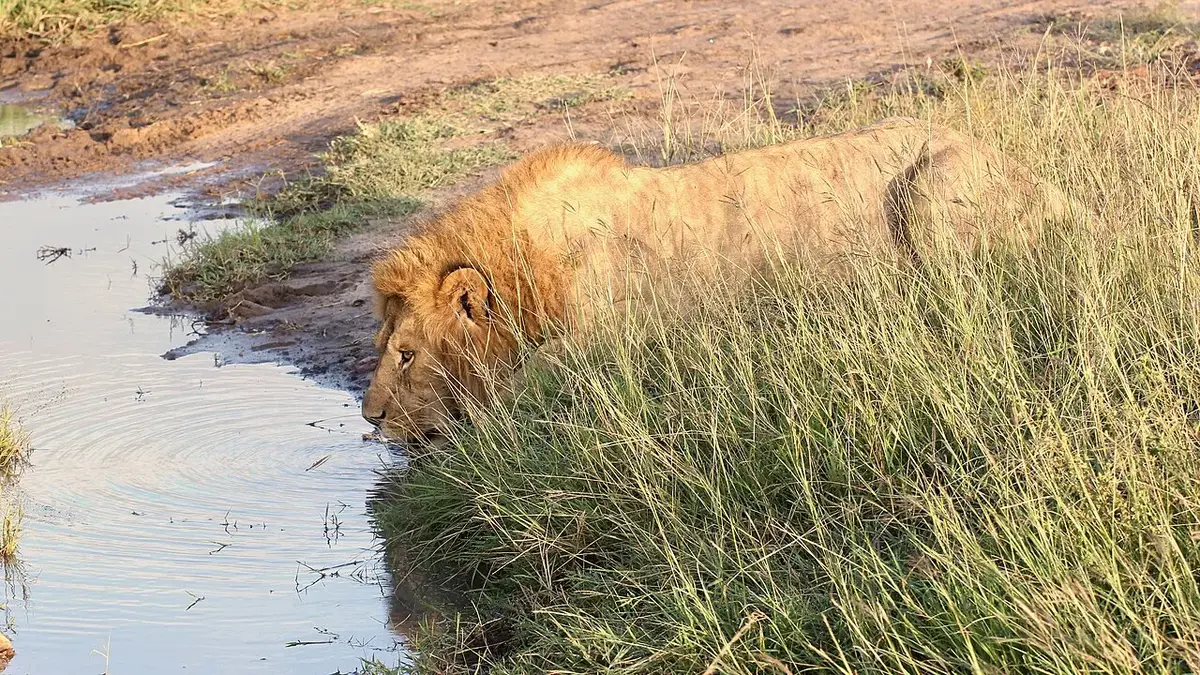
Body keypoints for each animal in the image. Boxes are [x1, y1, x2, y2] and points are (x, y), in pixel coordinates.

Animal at [361, 116, 1078, 442]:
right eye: (383, 349)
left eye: (408, 353)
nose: (370, 418)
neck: (530, 270)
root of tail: (1053, 187)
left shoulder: (612, 345)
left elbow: (517, 390)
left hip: (932, 189)